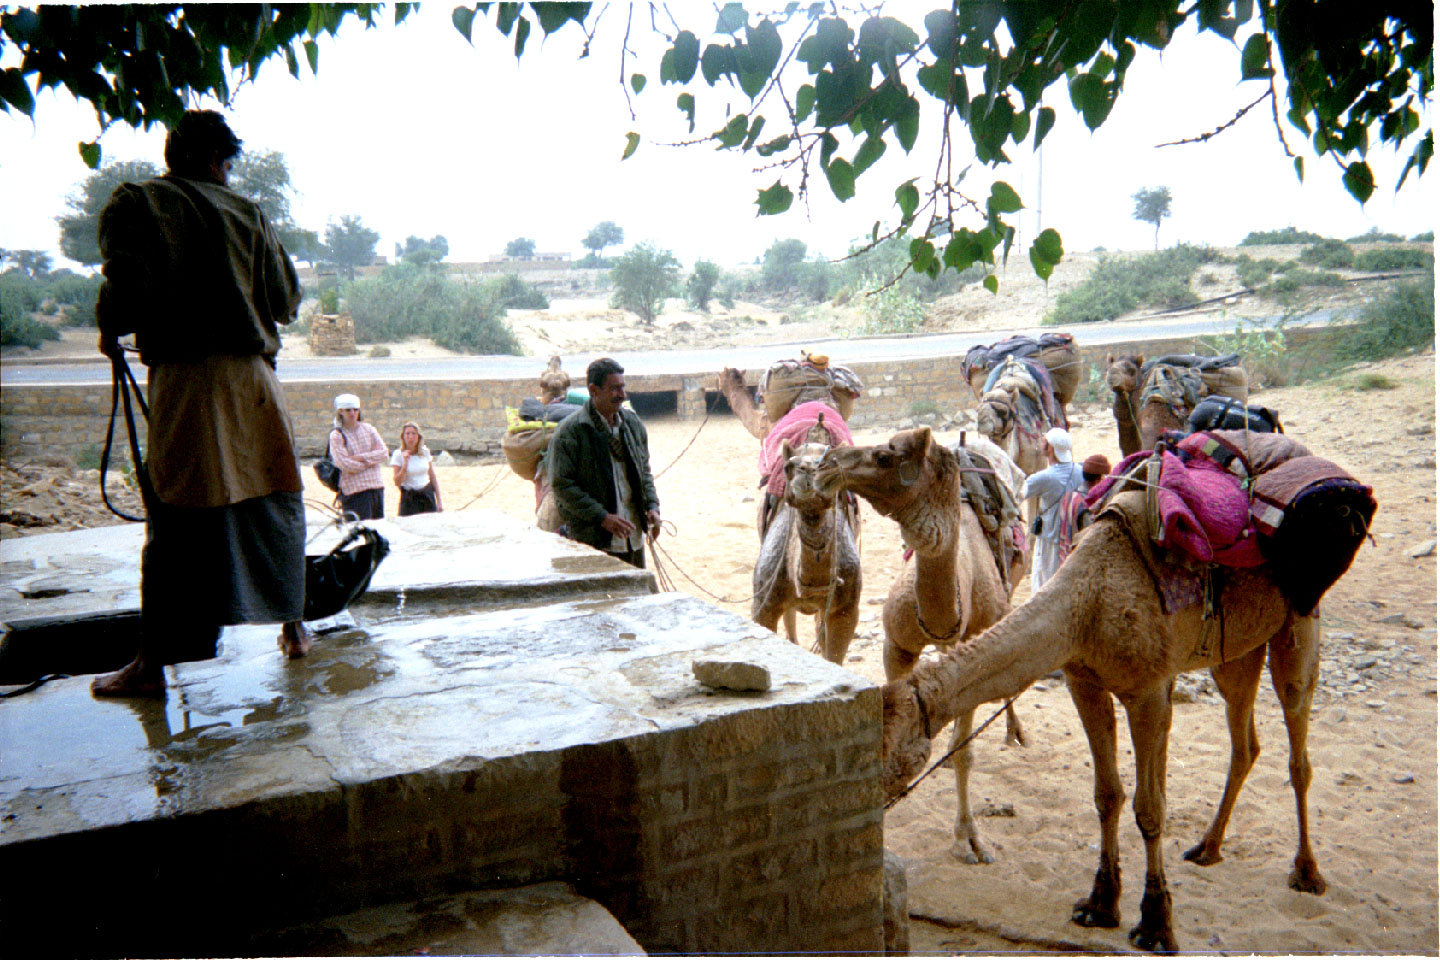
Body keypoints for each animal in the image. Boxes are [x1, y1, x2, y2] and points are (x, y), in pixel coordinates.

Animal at [760, 440, 858, 662]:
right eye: (788, 467)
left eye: (832, 467)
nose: (808, 472)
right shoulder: (763, 603)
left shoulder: (847, 610)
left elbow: (834, 655)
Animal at [817, 428, 1031, 863]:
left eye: (884, 457)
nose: (826, 463)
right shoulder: (896, 645)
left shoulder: (974, 653)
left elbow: (965, 753)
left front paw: (969, 839)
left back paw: (1014, 730)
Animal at [840, 454, 1324, 949]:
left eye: (884, 757)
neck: (1084, 603)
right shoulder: (1084, 681)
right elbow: (1107, 795)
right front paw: (1100, 904)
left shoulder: (1148, 690)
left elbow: (1150, 807)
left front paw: (1156, 922)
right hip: (1238, 648)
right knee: (1245, 740)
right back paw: (1208, 847)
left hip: (1300, 620)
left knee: (1297, 741)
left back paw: (1306, 872)